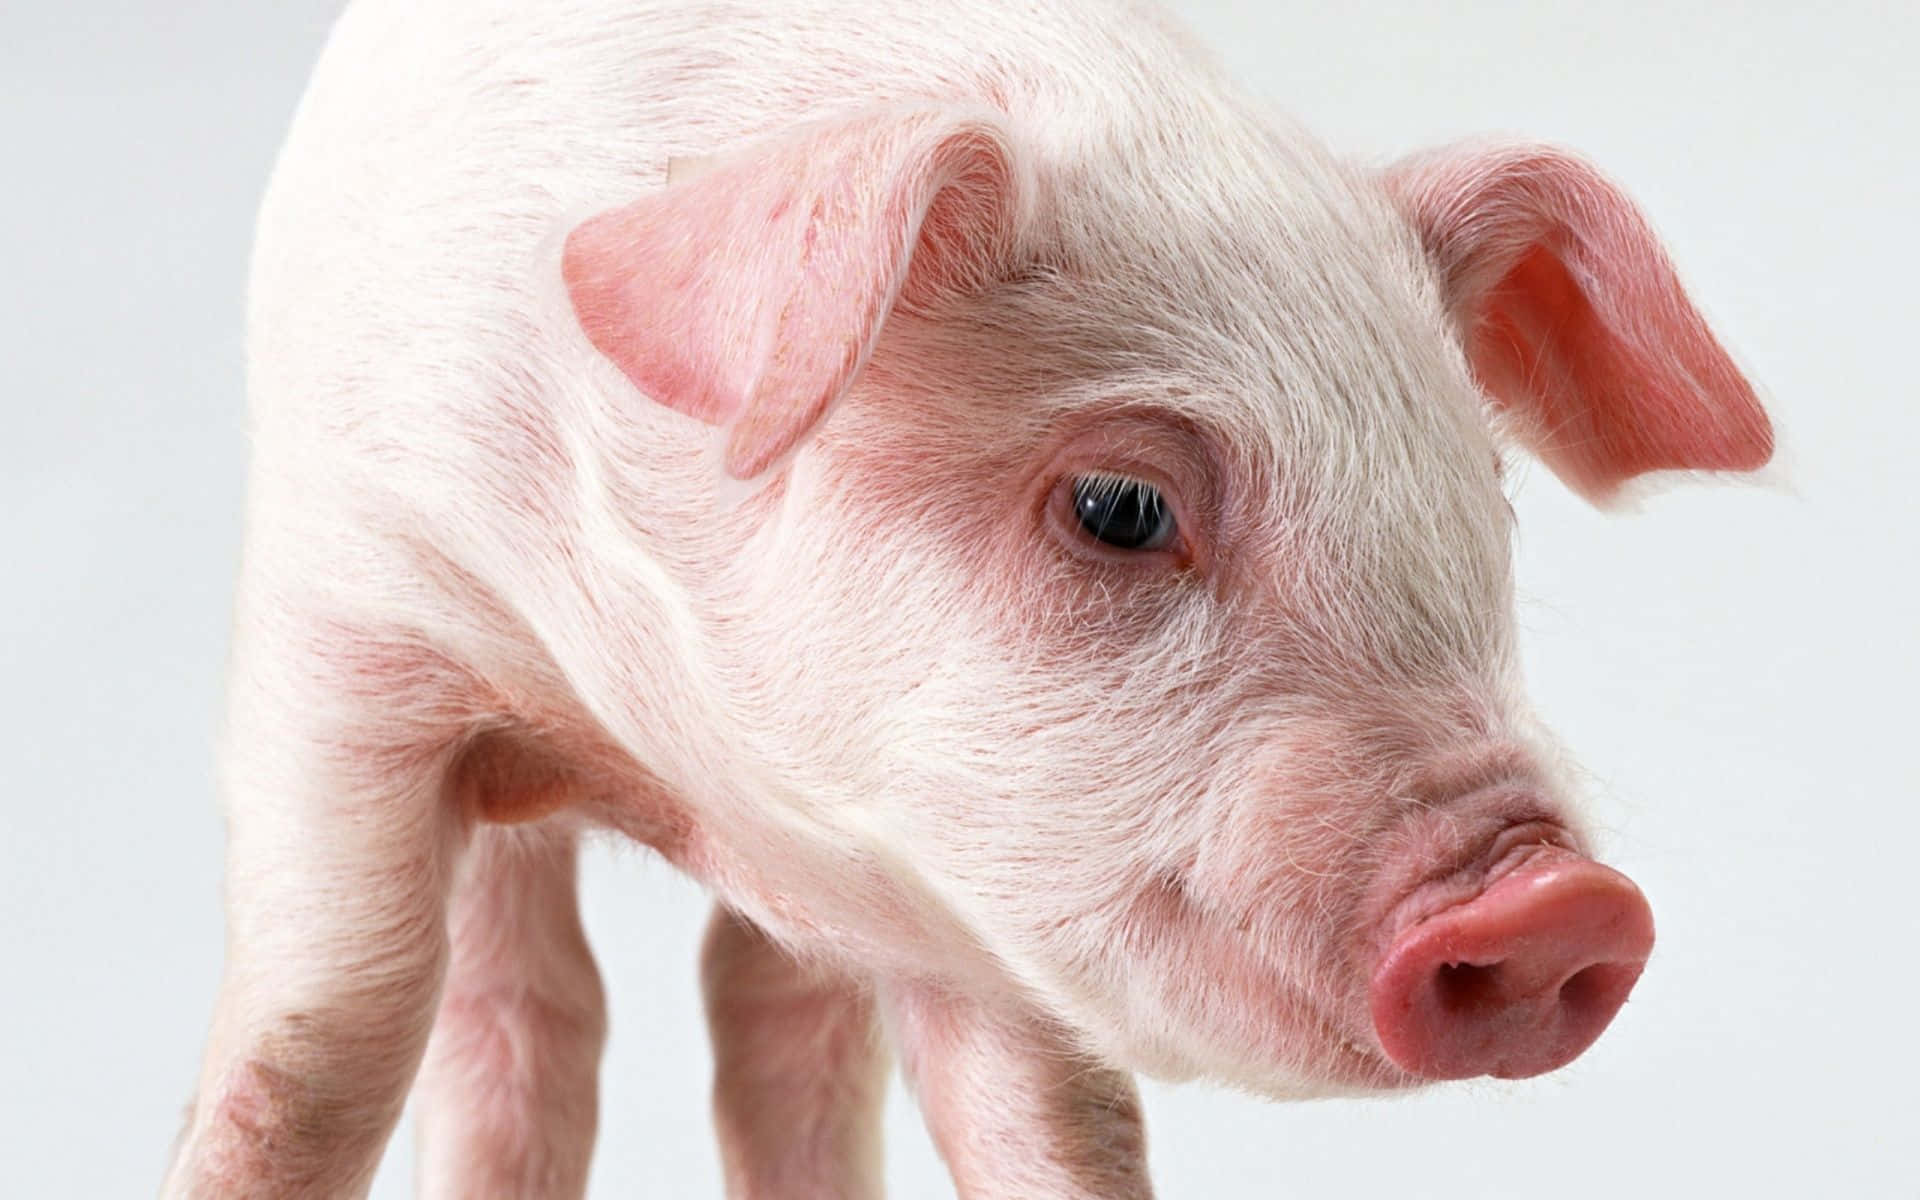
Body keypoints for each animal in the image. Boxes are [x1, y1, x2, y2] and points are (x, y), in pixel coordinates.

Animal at [162, 0, 1774, 1196]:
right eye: (1119, 507)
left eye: (1491, 494)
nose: (1563, 899)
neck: (668, 757)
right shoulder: (343, 618)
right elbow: (322, 1048)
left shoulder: (959, 891)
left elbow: (1057, 1125)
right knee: (519, 1020)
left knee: (771, 1034)